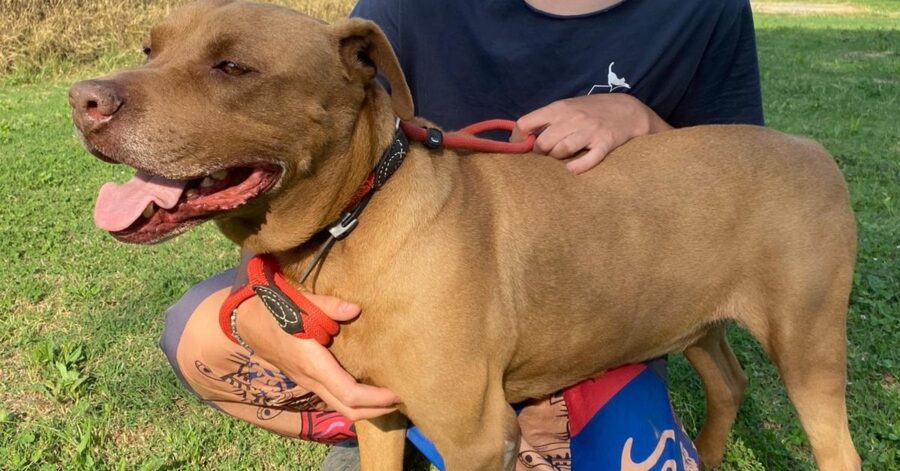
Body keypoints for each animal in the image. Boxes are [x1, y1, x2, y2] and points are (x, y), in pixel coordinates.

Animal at [68, 1, 856, 470]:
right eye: (150, 47)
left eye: (232, 66)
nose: (83, 101)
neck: (356, 217)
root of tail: (814, 149)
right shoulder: (379, 417)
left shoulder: (475, 436)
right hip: (695, 319)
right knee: (729, 380)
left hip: (808, 349)